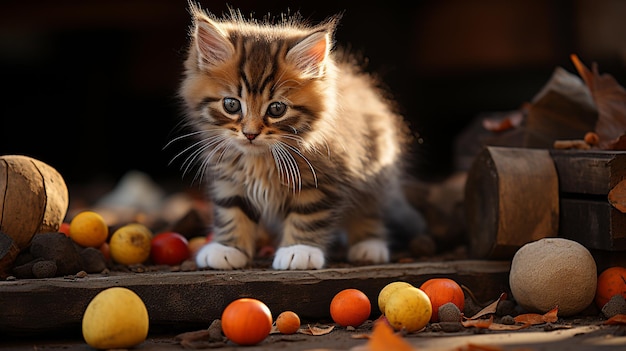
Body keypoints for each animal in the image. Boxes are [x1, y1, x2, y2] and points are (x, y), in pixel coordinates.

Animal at [177, 2, 428, 270]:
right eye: (231, 105)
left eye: (276, 109)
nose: (250, 134)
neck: (260, 159)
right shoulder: (228, 177)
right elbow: (232, 209)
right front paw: (227, 248)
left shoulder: (322, 180)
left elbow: (308, 214)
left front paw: (299, 250)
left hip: (375, 170)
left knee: (370, 209)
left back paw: (368, 246)